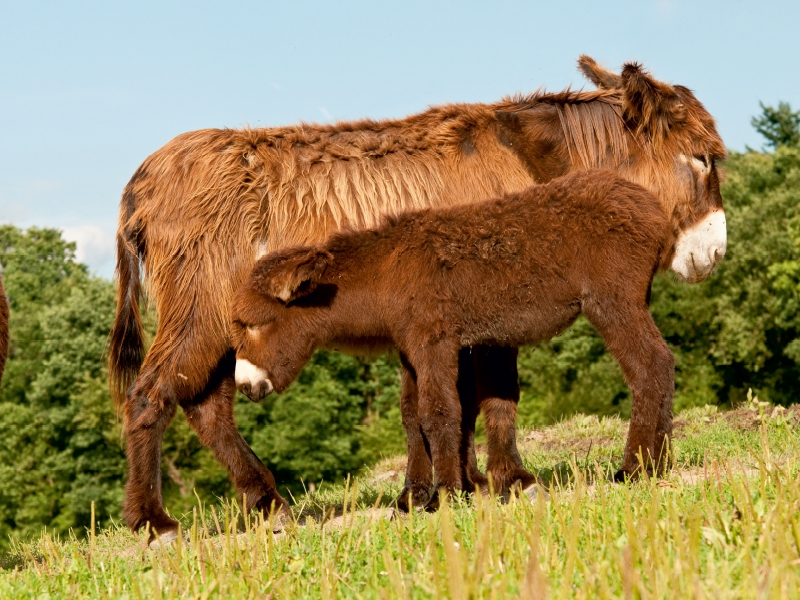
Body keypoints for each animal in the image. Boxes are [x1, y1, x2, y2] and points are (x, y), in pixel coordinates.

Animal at [234, 170, 680, 506]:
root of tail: (649, 203)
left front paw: (444, 495)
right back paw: (660, 462)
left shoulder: (434, 341)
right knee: (663, 363)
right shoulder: (411, 349)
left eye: (255, 324)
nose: (244, 386)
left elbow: (439, 411)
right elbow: (412, 416)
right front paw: (417, 496)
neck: (386, 274)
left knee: (650, 364)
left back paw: (635, 467)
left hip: (612, 300)